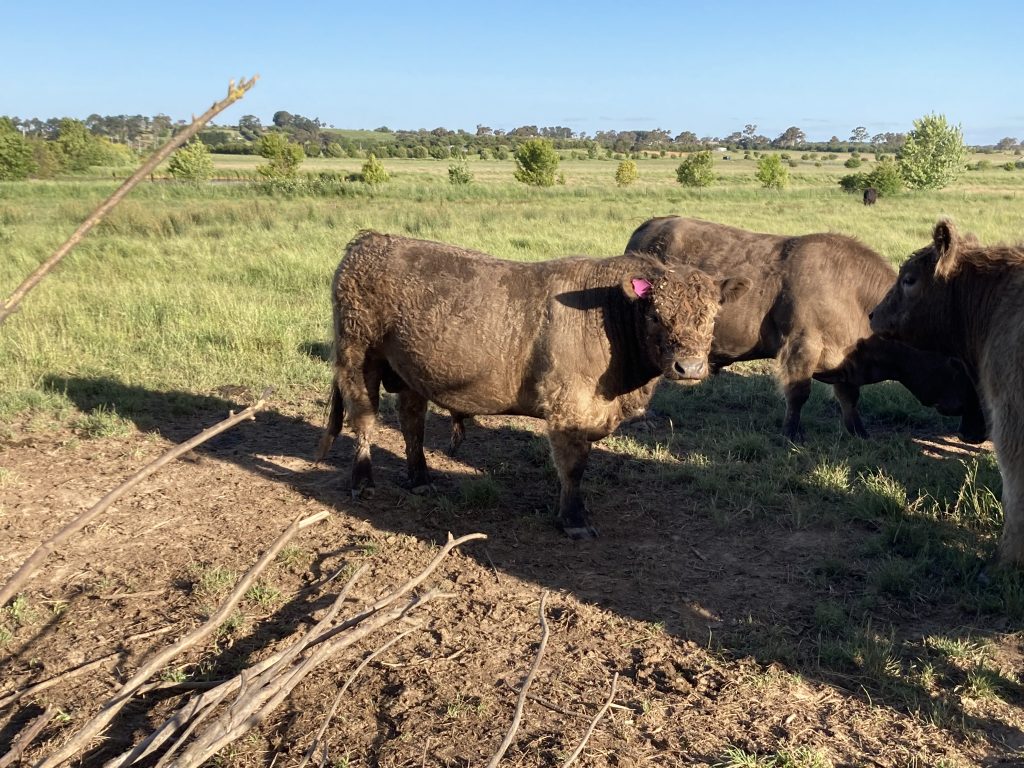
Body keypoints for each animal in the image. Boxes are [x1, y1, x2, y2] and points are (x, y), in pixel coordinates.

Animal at [317, 231, 750, 539]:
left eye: (712, 316)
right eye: (656, 315)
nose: (689, 367)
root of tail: (369, 240)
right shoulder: (568, 409)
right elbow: (573, 467)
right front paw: (574, 519)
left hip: (409, 371)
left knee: (412, 422)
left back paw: (421, 480)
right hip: (358, 358)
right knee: (365, 419)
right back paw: (363, 483)